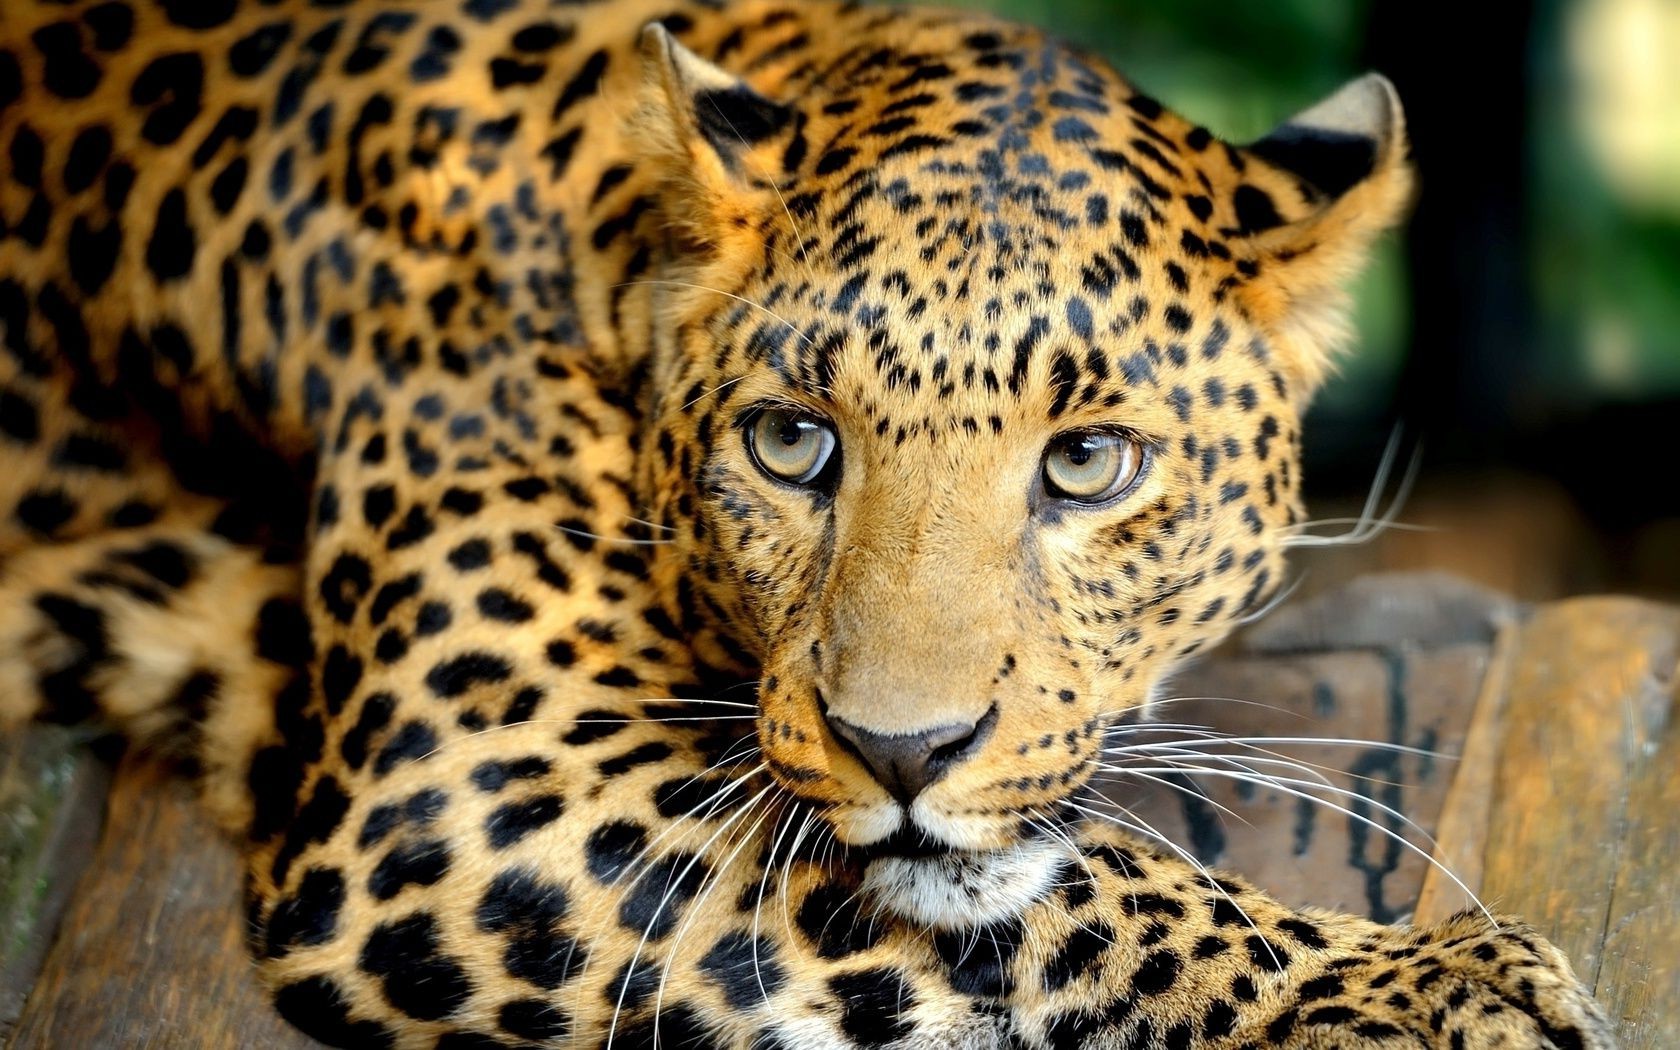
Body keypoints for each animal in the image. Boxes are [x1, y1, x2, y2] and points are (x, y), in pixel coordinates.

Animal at [3, 0, 1626, 1041]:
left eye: (1089, 462)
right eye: (793, 443)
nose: (903, 753)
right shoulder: (468, 775)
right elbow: (1060, 889)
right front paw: (1399, 987)